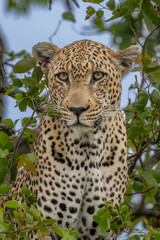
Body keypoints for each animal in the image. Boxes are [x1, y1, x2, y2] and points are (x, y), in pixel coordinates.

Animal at [0, 40, 139, 239]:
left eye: (98, 75)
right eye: (63, 76)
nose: (77, 109)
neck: (88, 150)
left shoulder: (101, 228)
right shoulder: (41, 226)